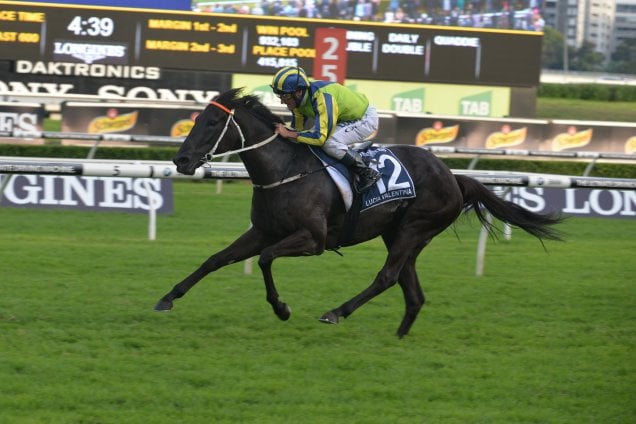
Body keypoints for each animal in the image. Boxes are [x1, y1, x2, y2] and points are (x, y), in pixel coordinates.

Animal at [155, 88, 560, 338]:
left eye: (211, 124)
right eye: (194, 121)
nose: (181, 161)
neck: (284, 169)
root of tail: (452, 175)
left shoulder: (313, 239)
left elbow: (267, 259)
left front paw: (281, 308)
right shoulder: (262, 231)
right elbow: (215, 259)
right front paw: (167, 298)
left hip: (415, 227)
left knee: (386, 277)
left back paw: (336, 312)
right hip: (400, 234)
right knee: (411, 290)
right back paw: (398, 337)